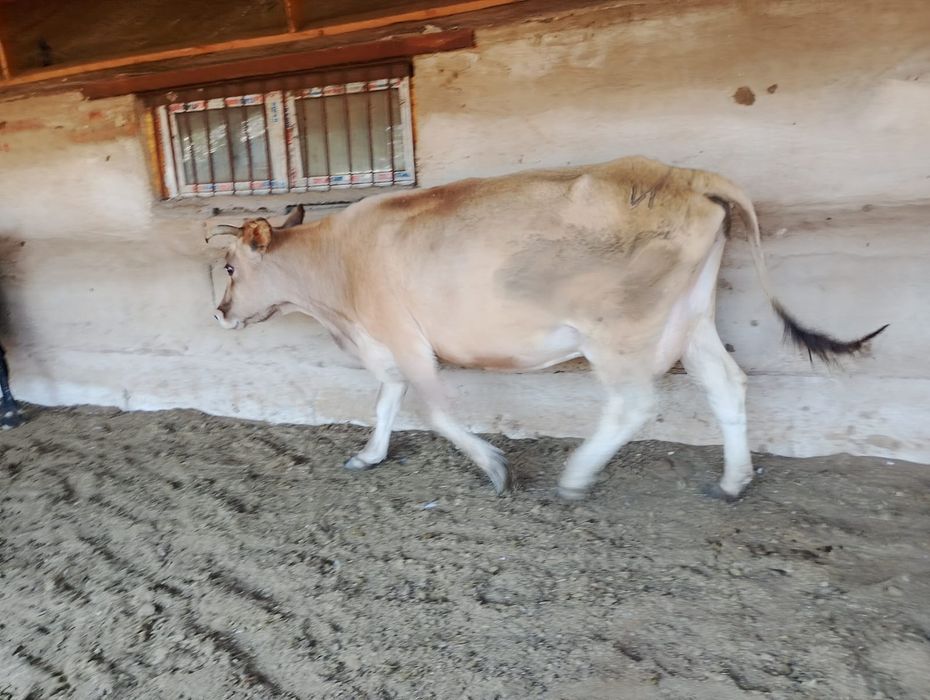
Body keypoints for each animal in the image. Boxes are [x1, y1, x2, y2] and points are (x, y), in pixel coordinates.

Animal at [207, 157, 886, 500]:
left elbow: (431, 409)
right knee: (727, 384)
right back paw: (734, 480)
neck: (338, 278)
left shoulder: (401, 334)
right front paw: (371, 455)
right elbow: (386, 401)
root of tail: (684, 175)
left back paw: (576, 477)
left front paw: (494, 468)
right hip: (692, 317)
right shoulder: (387, 342)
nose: (219, 312)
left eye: (231, 266)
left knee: (634, 402)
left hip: (618, 329)